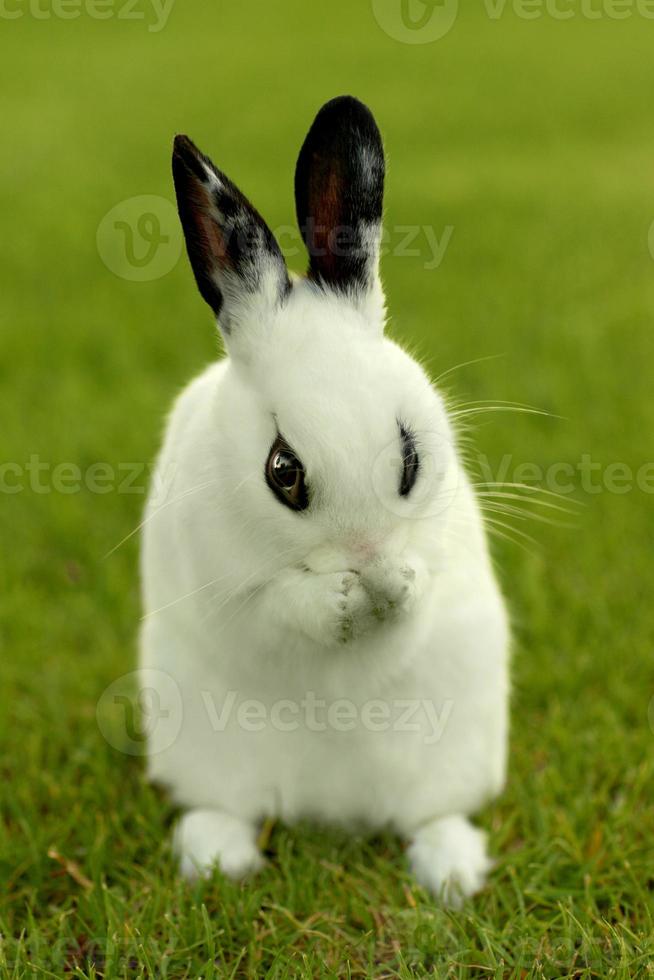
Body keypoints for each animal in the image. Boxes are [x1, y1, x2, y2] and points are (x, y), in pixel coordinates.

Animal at [141, 95, 512, 908]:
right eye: (283, 471)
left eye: (409, 457)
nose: (366, 558)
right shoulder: (232, 590)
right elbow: (281, 612)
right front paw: (340, 599)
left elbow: (415, 602)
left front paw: (392, 585)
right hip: (208, 754)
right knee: (226, 807)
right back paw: (218, 857)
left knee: (429, 815)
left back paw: (453, 873)